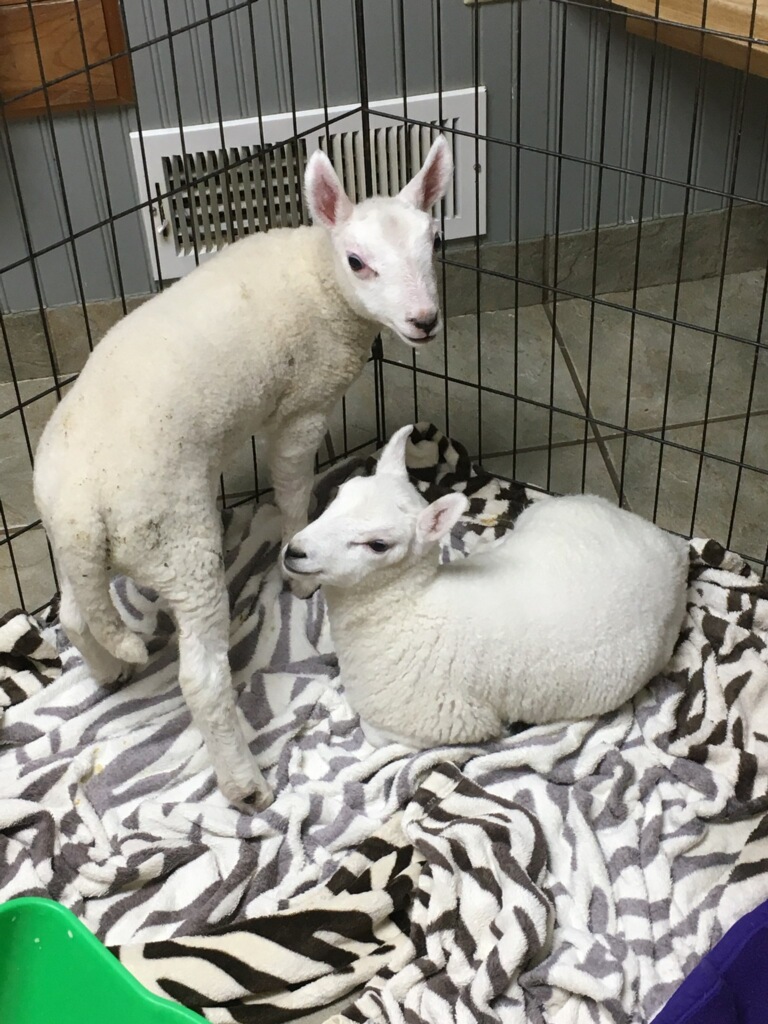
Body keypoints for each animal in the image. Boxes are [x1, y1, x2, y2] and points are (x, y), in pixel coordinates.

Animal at [32, 138, 454, 809]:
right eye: (358, 262)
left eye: (433, 243)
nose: (423, 320)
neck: (320, 279)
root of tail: (82, 510)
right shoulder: (303, 407)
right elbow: (292, 487)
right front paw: (299, 571)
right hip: (177, 540)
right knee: (200, 676)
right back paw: (245, 783)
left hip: (72, 541)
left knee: (75, 612)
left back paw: (111, 669)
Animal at [282, 424, 690, 750]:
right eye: (338, 494)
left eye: (378, 545)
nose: (294, 551)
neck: (409, 607)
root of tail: (667, 542)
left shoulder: (446, 722)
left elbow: (372, 732)